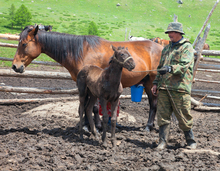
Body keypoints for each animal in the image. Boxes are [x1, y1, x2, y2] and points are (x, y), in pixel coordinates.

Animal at [12, 24, 163, 131]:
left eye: (24, 44)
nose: (15, 66)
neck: (81, 51)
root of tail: (161, 48)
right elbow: (85, 105)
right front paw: (86, 125)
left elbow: (93, 107)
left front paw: (96, 126)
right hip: (148, 84)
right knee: (153, 104)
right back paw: (149, 126)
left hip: (151, 84)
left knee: (154, 104)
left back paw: (148, 127)